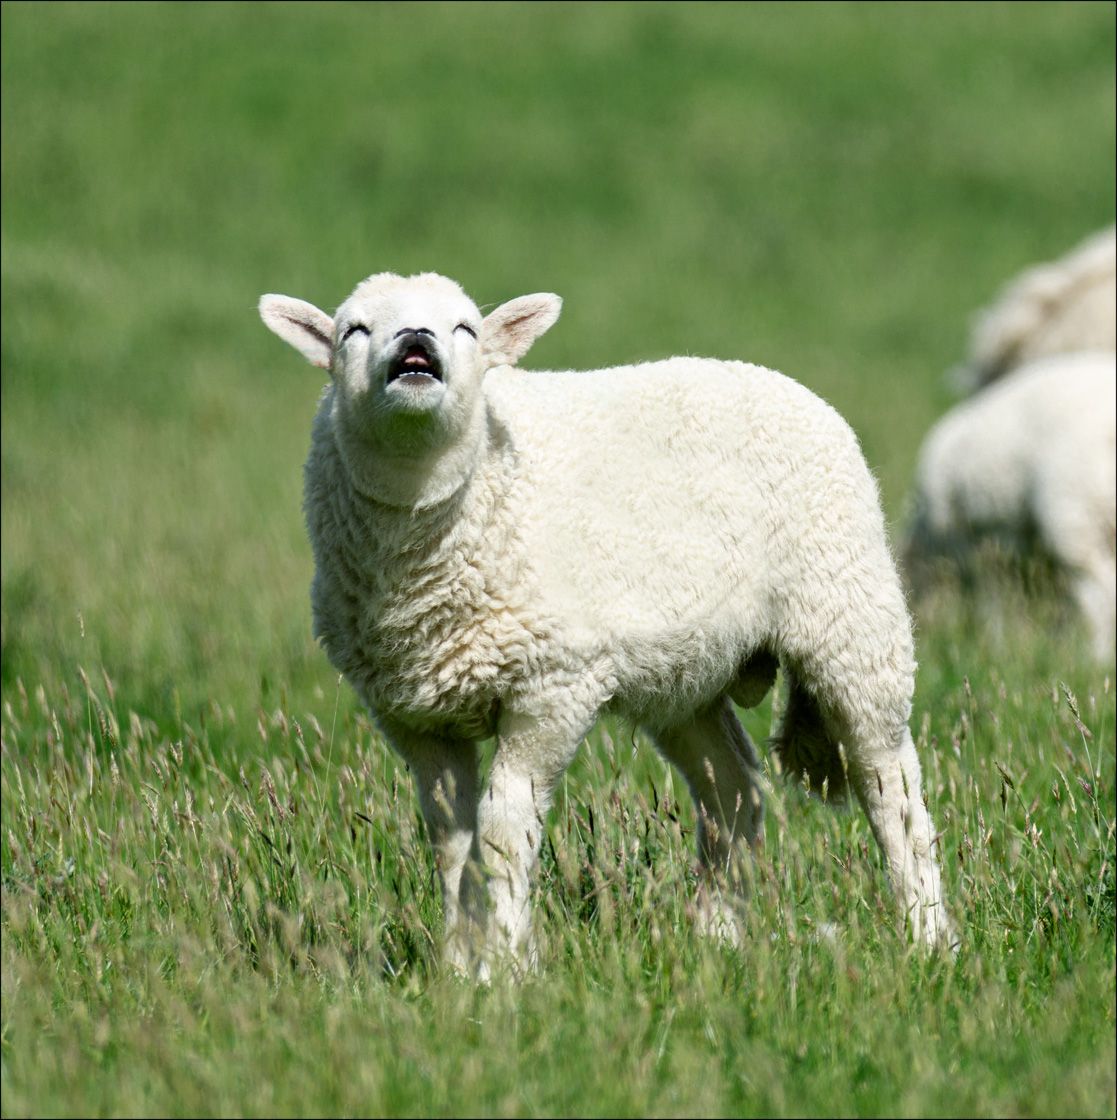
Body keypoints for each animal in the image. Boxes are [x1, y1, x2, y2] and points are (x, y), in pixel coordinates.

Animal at [259, 270, 955, 975]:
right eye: (353, 330)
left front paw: (505, 964)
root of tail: (770, 377)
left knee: (891, 788)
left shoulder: (552, 685)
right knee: (734, 790)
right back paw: (717, 936)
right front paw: (459, 965)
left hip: (849, 611)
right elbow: (450, 840)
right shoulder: (414, 714)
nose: (415, 342)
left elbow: (504, 829)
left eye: (466, 329)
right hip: (686, 675)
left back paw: (927, 936)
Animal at [906, 350, 1116, 660]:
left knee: (1100, 595)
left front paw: (997, 645)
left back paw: (1097, 658)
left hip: (1074, 519)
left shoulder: (968, 546)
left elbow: (992, 601)